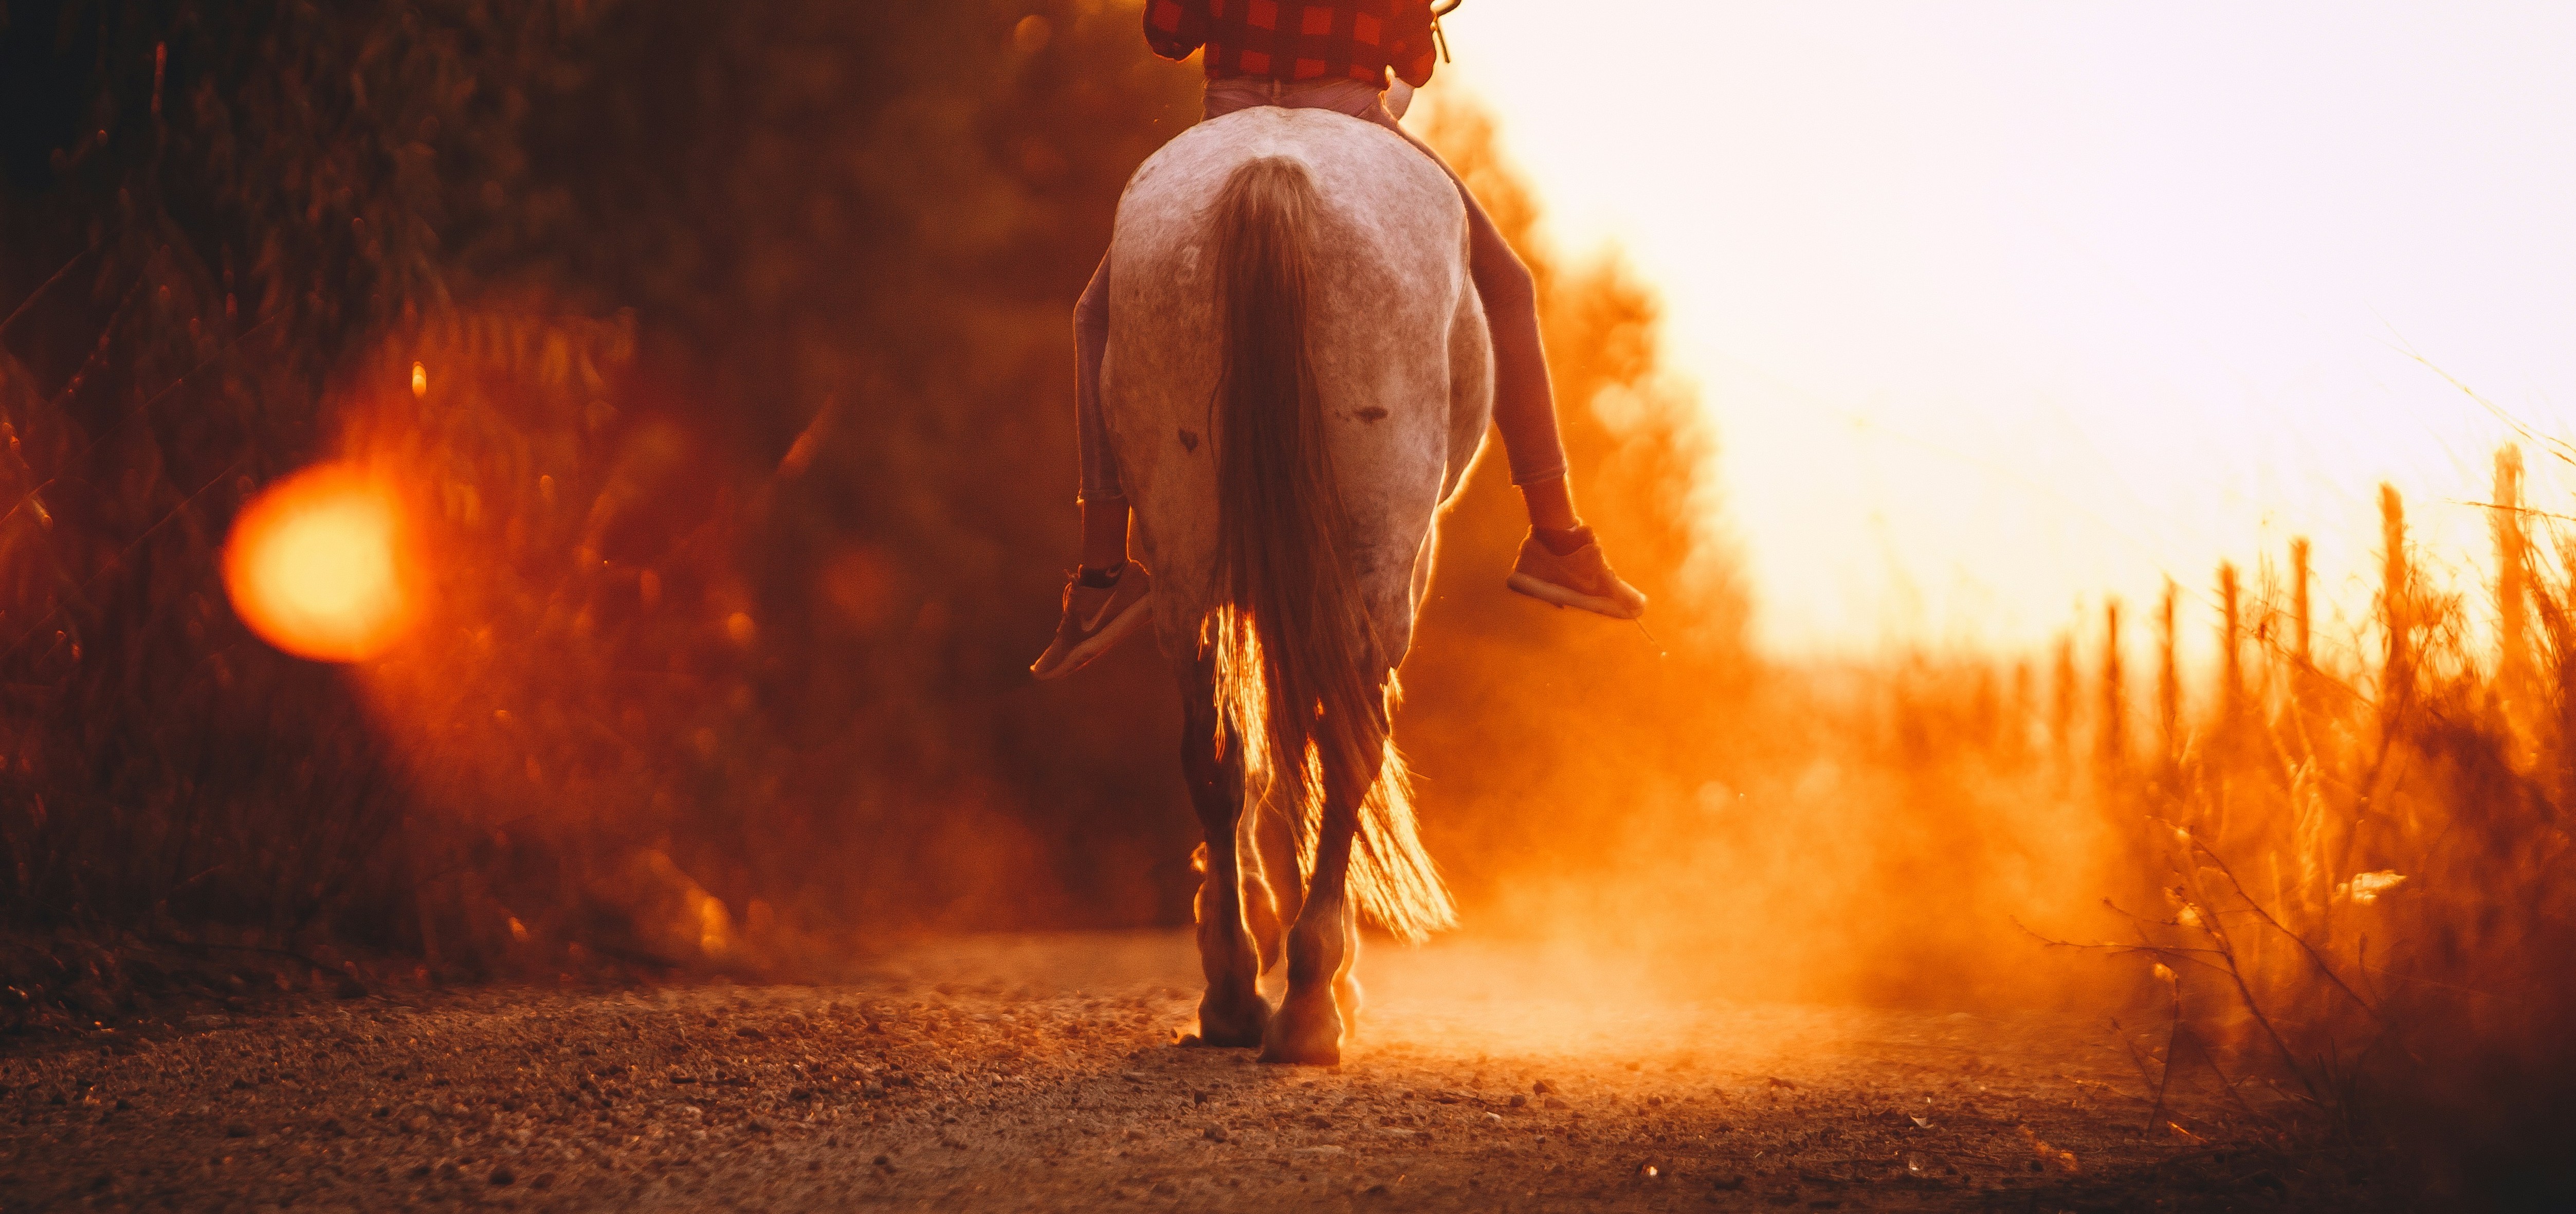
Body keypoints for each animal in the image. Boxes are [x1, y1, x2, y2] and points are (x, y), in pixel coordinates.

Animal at [1098, 106, 1493, 1065]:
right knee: (1345, 747)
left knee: (1213, 755)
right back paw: (1309, 1003)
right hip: (1378, 565)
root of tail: (1273, 172)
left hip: (1186, 559)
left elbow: (1258, 757)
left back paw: (1236, 993)